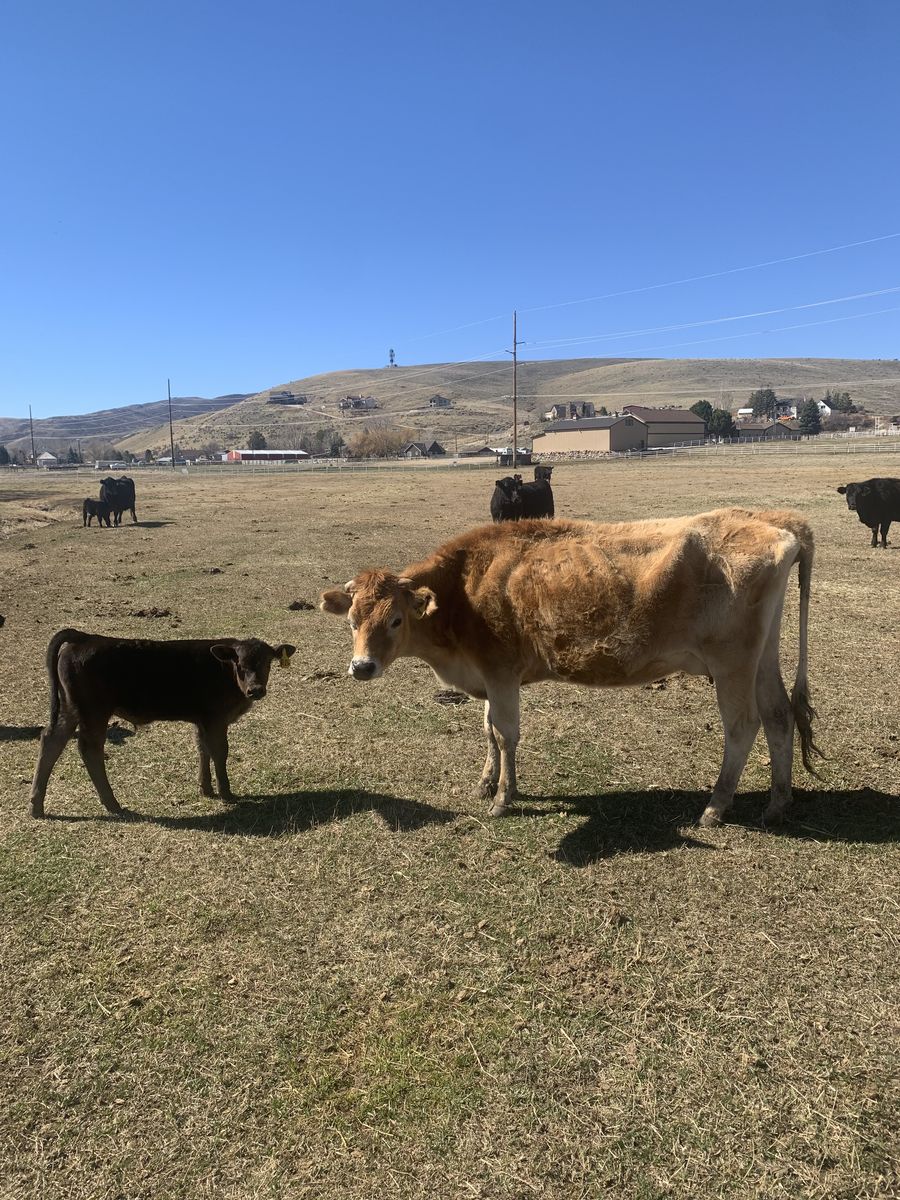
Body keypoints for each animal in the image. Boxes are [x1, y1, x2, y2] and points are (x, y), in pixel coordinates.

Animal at [30, 629, 296, 817]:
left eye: (268, 663)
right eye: (239, 665)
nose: (255, 690)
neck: (225, 673)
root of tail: (86, 637)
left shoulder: (202, 720)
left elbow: (203, 749)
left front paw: (206, 789)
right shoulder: (216, 719)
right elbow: (220, 752)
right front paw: (226, 792)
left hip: (70, 708)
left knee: (51, 741)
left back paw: (36, 806)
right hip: (93, 712)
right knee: (89, 749)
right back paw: (113, 804)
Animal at [321, 508, 819, 828]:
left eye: (395, 620)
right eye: (352, 621)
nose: (361, 666)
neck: (463, 589)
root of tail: (777, 519)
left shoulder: (501, 672)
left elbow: (505, 733)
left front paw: (503, 798)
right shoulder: (489, 676)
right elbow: (488, 729)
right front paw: (488, 782)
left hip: (732, 662)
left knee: (742, 725)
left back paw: (716, 806)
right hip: (762, 656)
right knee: (778, 715)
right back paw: (778, 802)